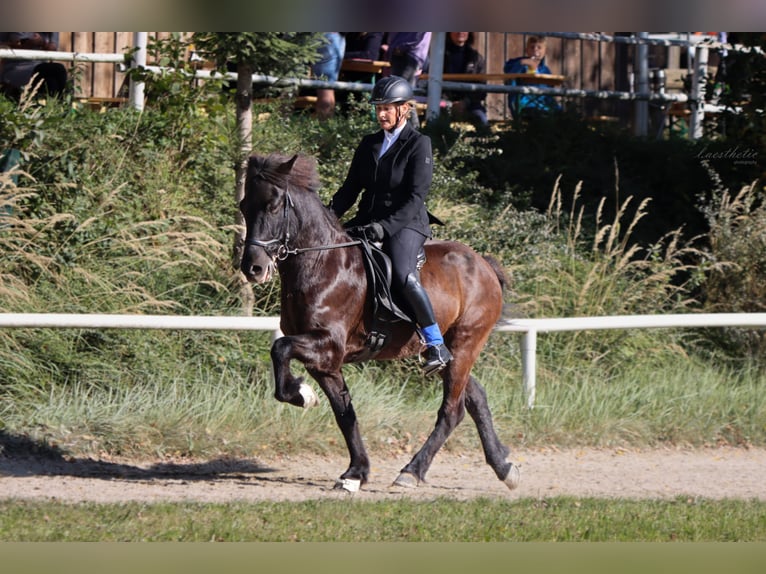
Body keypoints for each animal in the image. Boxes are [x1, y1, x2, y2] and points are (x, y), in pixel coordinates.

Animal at [240, 153, 520, 496]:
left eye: (274, 205)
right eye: (244, 206)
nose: (252, 268)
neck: (321, 264)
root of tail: (484, 265)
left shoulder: (327, 345)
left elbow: (279, 349)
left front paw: (302, 395)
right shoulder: (325, 362)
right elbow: (344, 413)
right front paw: (355, 473)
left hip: (467, 342)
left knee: (452, 410)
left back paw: (411, 472)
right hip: (451, 351)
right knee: (475, 397)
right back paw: (504, 467)